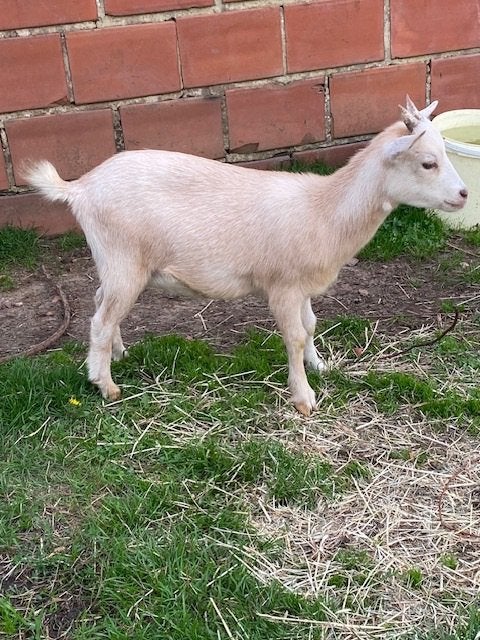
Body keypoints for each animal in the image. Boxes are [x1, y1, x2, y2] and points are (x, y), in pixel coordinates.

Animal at [24, 97, 467, 416]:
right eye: (428, 162)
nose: (464, 194)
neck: (324, 209)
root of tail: (79, 188)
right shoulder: (283, 286)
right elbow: (293, 335)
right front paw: (304, 398)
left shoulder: (302, 285)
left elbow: (311, 326)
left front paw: (321, 366)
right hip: (123, 259)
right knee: (100, 319)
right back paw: (106, 385)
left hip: (118, 264)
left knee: (102, 304)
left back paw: (118, 354)